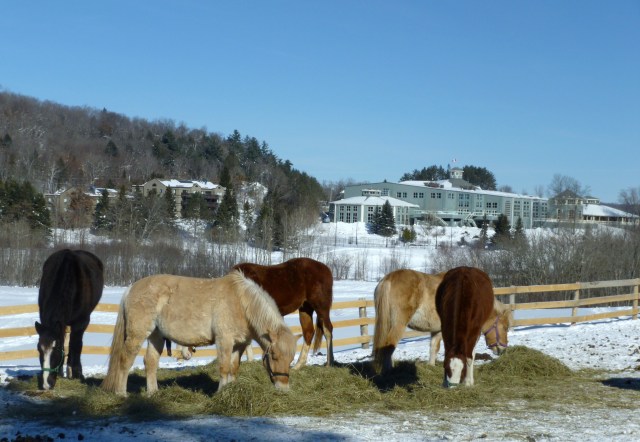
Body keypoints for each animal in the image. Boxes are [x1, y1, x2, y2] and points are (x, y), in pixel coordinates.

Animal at [35, 249, 104, 390]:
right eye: (39, 349)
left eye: (56, 349)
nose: (46, 384)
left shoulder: (81, 322)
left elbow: (76, 345)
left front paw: (78, 374)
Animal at [100, 270, 298, 396]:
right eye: (274, 355)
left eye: (290, 359)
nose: (283, 388)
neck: (241, 303)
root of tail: (130, 289)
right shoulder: (224, 341)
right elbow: (224, 368)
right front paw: (221, 393)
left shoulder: (239, 345)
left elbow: (233, 368)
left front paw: (232, 390)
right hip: (138, 334)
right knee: (125, 360)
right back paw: (121, 393)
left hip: (156, 336)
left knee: (150, 362)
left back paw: (153, 393)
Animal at [372, 268, 512, 374]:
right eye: (505, 327)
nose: (503, 350)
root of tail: (389, 278)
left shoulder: (436, 330)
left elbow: (433, 347)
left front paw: (431, 366)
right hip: (398, 324)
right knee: (389, 345)